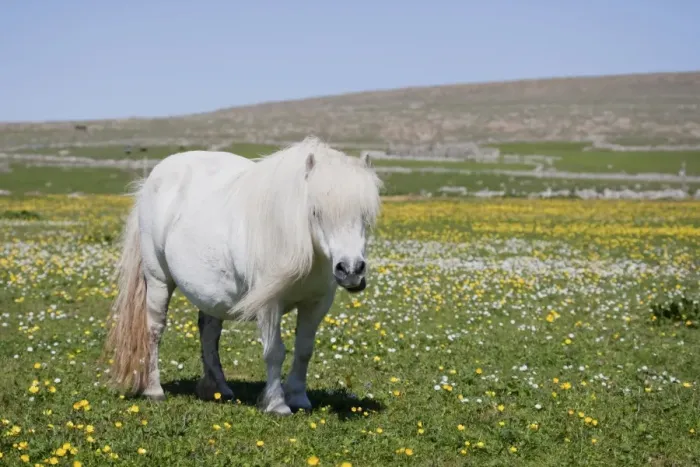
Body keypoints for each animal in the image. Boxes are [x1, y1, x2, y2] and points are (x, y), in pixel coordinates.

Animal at [103, 136, 383, 415]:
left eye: (365, 215)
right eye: (315, 212)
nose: (351, 270)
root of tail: (152, 179)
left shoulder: (316, 303)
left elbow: (304, 349)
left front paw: (299, 398)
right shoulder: (269, 304)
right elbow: (274, 351)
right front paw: (277, 404)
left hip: (211, 292)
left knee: (209, 332)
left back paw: (218, 389)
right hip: (158, 280)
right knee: (155, 329)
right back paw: (154, 390)